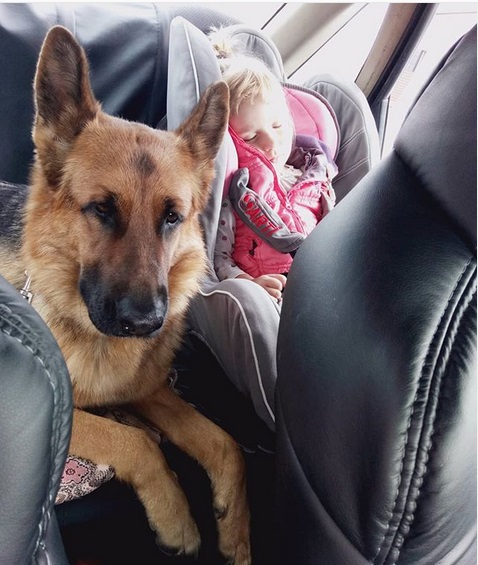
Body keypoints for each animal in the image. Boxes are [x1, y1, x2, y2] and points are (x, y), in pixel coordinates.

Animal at [0, 25, 252, 560]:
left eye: (172, 217)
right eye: (101, 209)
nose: (144, 323)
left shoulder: (150, 391)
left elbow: (226, 444)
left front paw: (237, 533)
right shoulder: (66, 415)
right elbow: (137, 442)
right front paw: (176, 516)